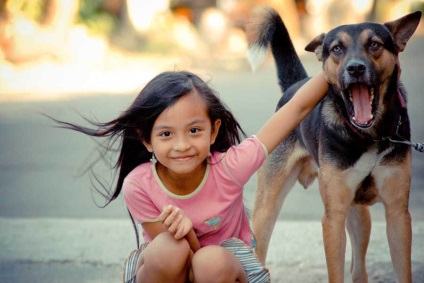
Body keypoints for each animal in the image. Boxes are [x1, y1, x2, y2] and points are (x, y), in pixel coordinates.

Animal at [247, 4, 422, 283]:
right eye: (337, 49)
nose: (355, 68)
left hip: (359, 216)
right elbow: (335, 271)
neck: (370, 136)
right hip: (267, 207)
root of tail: (297, 85)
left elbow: (403, 270)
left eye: (374, 44)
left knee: (358, 268)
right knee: (260, 250)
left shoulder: (397, 214)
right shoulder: (333, 217)